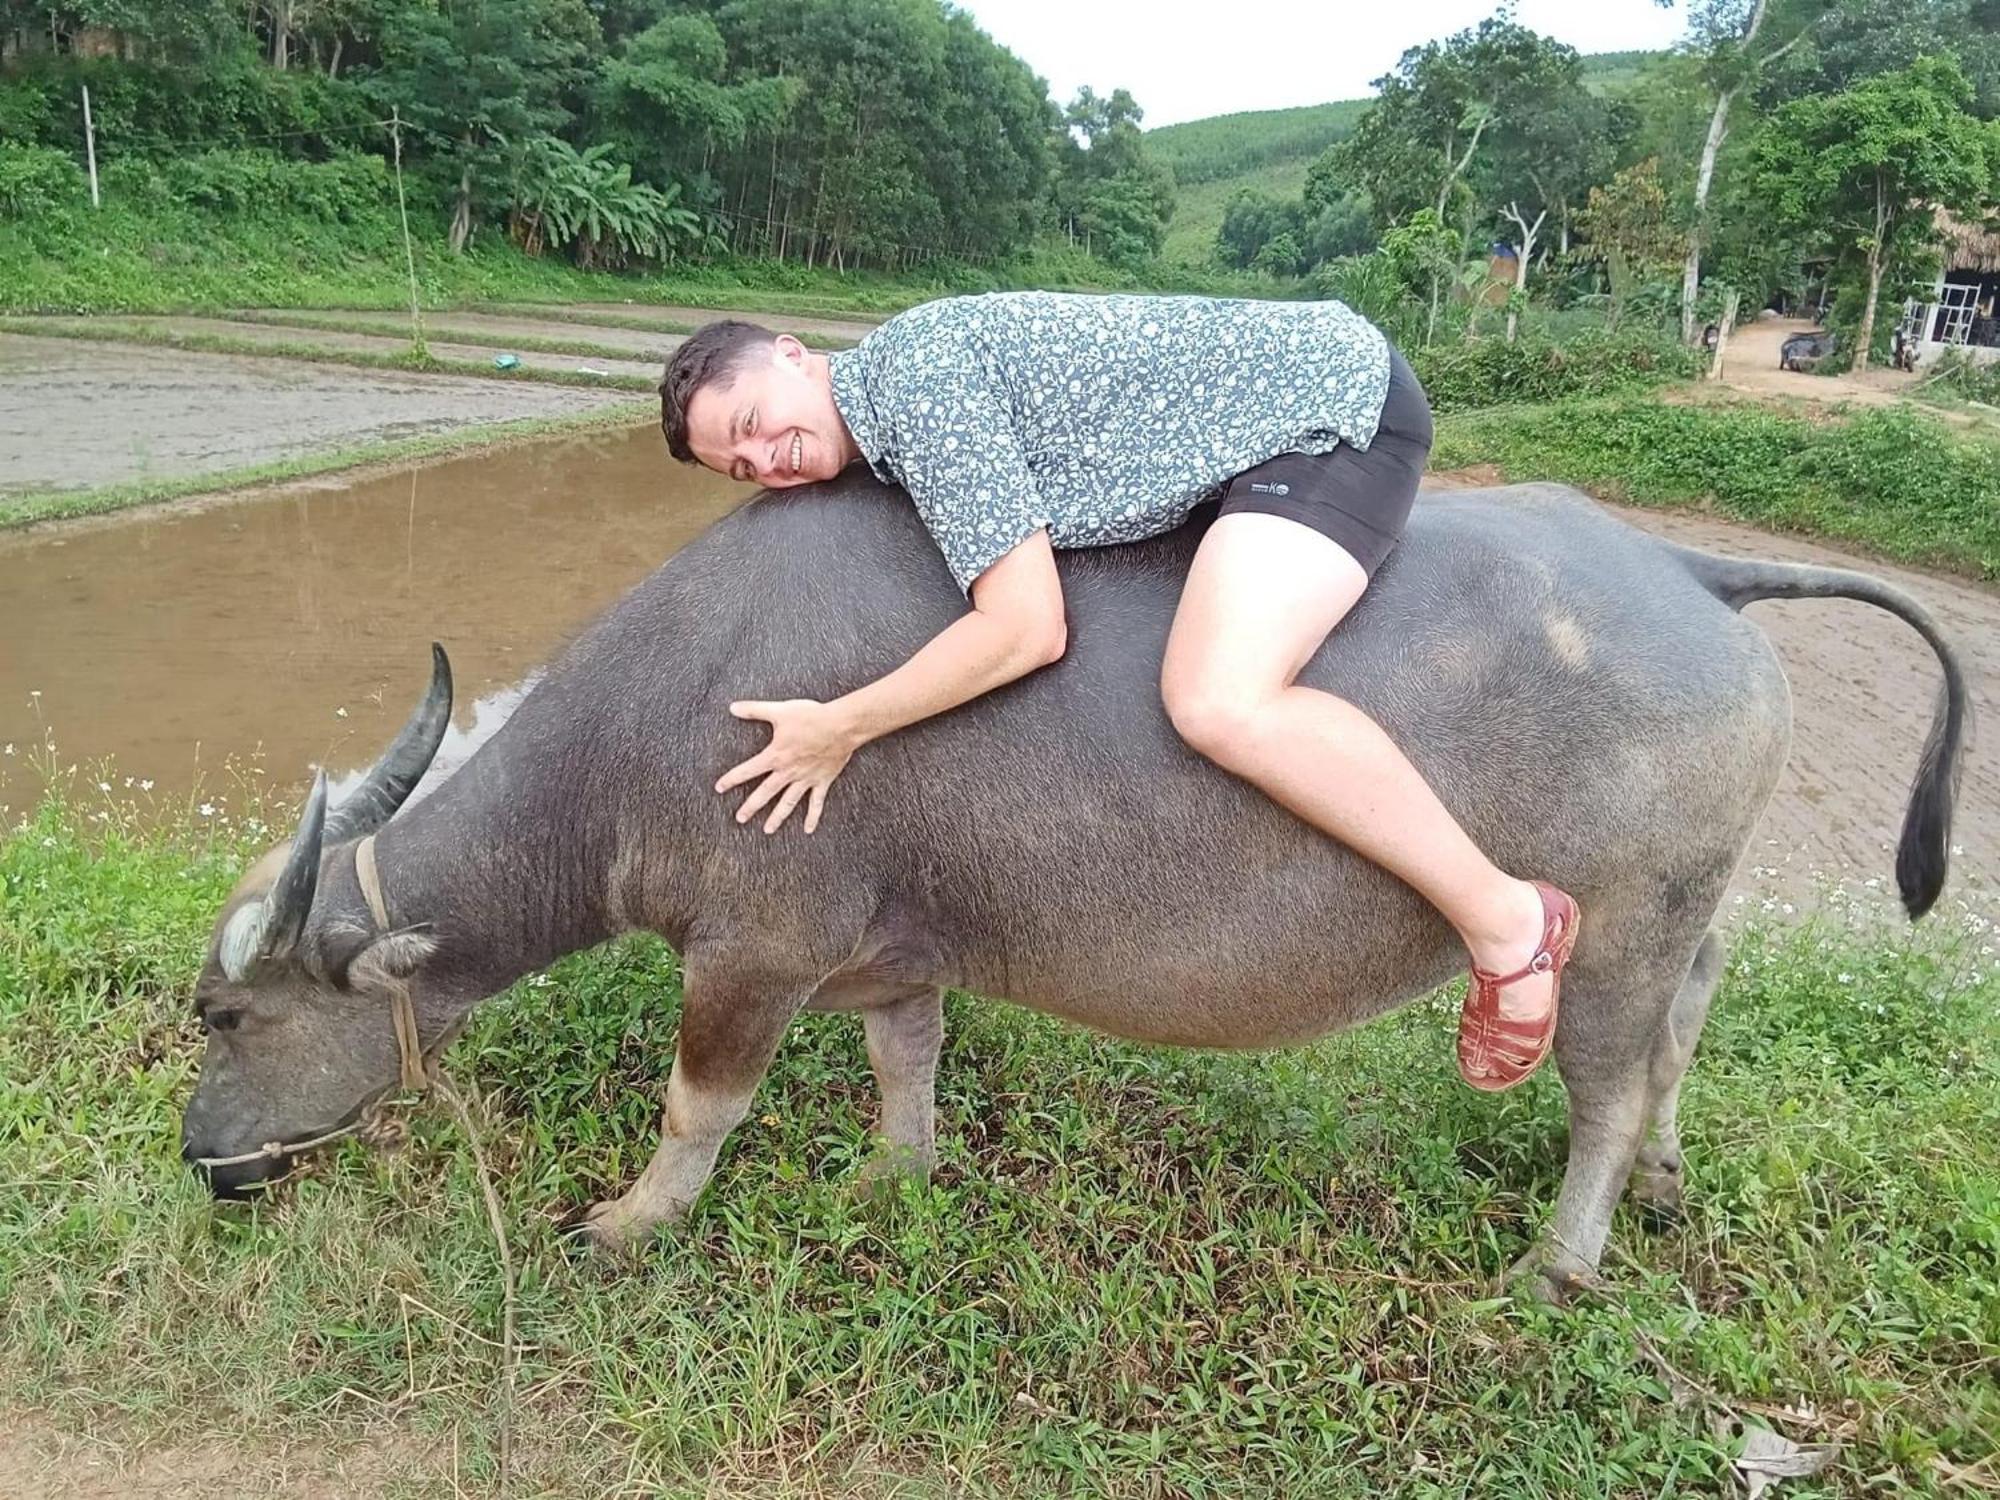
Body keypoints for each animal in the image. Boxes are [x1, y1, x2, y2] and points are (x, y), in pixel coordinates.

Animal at [180, 482, 1960, 1304]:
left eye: (225, 1013)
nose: (206, 1160)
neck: (662, 721)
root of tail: (1686, 570)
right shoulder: (889, 951)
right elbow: (905, 1061)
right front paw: (897, 1178)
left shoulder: (751, 951)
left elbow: (701, 1106)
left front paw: (627, 1223)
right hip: (1688, 908)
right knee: (1689, 1017)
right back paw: (1661, 1180)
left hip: (1612, 921)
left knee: (1601, 1078)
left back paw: (1563, 1259)